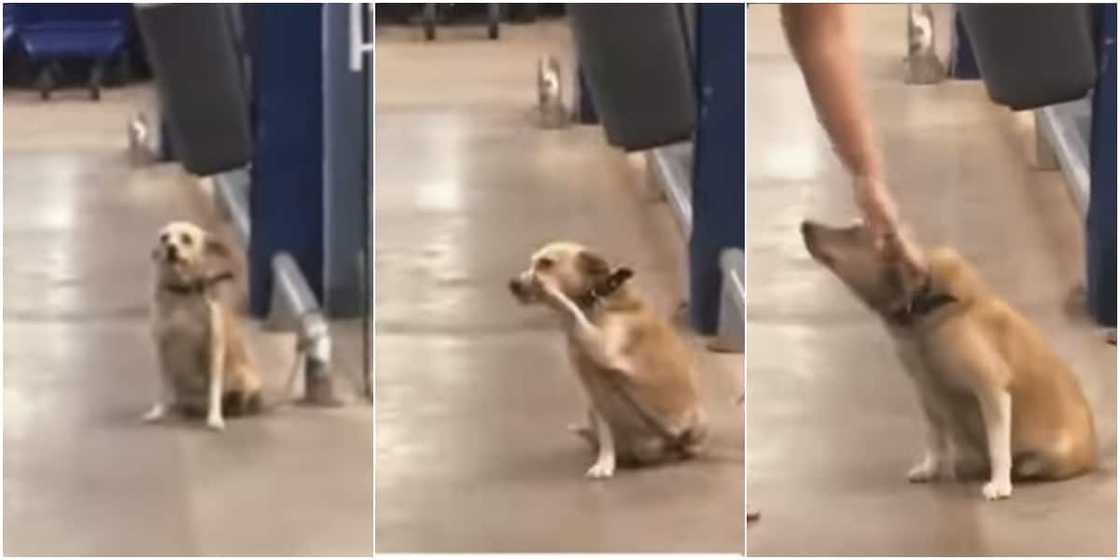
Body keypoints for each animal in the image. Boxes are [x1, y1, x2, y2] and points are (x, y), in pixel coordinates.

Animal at [146, 220, 264, 430]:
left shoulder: (213, 348)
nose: (170, 248)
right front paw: (158, 411)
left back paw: (235, 405)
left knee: (240, 396)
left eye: (186, 238)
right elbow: (162, 387)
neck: (183, 292)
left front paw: (215, 417)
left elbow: (214, 388)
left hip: (246, 377)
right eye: (164, 237)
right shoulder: (162, 348)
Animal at [510, 240, 703, 477]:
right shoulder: (595, 392)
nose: (513, 284)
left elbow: (568, 307)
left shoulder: (605, 350)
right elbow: (605, 434)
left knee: (682, 444)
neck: (594, 301)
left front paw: (553, 294)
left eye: (546, 263)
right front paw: (604, 462)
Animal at [801, 218, 1097, 499]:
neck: (922, 301)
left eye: (854, 230)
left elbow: (998, 445)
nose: (805, 225)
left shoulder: (991, 387)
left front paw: (1000, 484)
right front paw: (930, 468)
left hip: (1057, 450)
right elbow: (934, 437)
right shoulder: (926, 391)